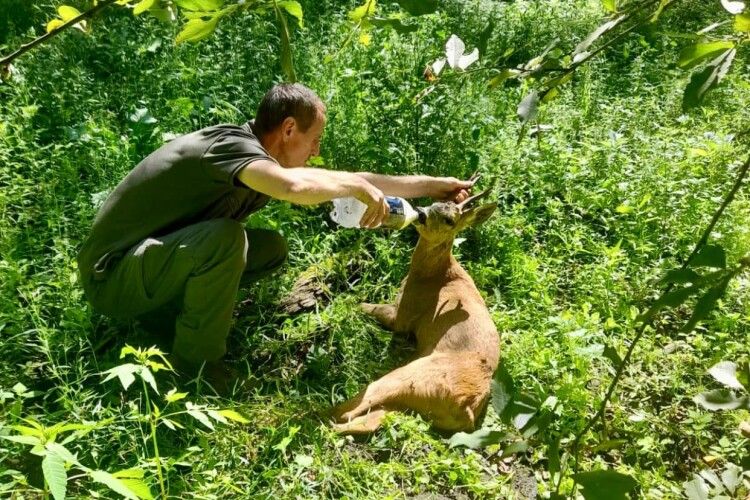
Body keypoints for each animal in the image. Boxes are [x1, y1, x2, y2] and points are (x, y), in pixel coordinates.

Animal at [334, 189, 500, 432]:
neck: (435, 275)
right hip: (409, 404)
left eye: (450, 220)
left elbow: (367, 306)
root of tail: (467, 409)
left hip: (415, 375)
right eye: (436, 203)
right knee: (367, 420)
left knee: (349, 410)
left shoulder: (403, 315)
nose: (421, 212)